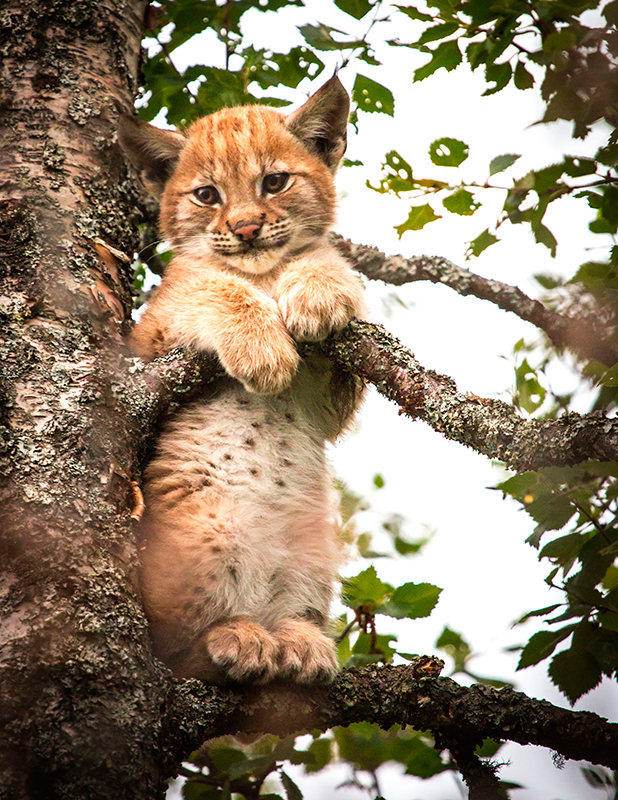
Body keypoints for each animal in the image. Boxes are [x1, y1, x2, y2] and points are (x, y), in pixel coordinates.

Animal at [118, 78, 364, 684]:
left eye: (274, 182)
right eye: (207, 195)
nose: (247, 229)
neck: (265, 271)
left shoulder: (332, 406)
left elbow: (322, 259)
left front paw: (321, 288)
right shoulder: (146, 341)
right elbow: (209, 285)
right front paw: (262, 348)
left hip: (314, 548)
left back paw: (300, 642)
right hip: (208, 532)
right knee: (172, 651)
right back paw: (233, 637)